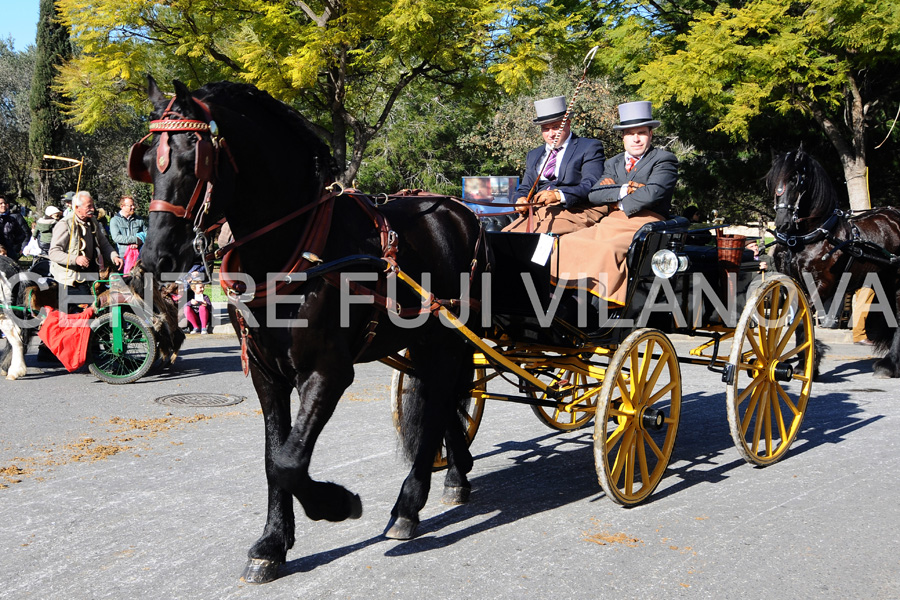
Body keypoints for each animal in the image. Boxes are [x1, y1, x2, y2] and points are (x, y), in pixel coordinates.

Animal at [135, 78, 486, 580]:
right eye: (147, 163)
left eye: (191, 160)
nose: (154, 258)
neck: (294, 251)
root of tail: (461, 211)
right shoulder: (266, 373)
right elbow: (273, 457)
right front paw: (272, 542)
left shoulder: (326, 371)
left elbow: (289, 460)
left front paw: (336, 504)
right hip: (425, 339)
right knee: (442, 400)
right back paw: (455, 475)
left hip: (449, 336)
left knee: (441, 397)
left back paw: (408, 505)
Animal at [768, 148, 900, 378]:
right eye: (774, 180)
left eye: (795, 178)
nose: (782, 222)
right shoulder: (793, 283)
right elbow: (800, 320)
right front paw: (805, 363)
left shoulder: (824, 284)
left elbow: (803, 319)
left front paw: (811, 362)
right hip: (885, 282)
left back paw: (889, 365)